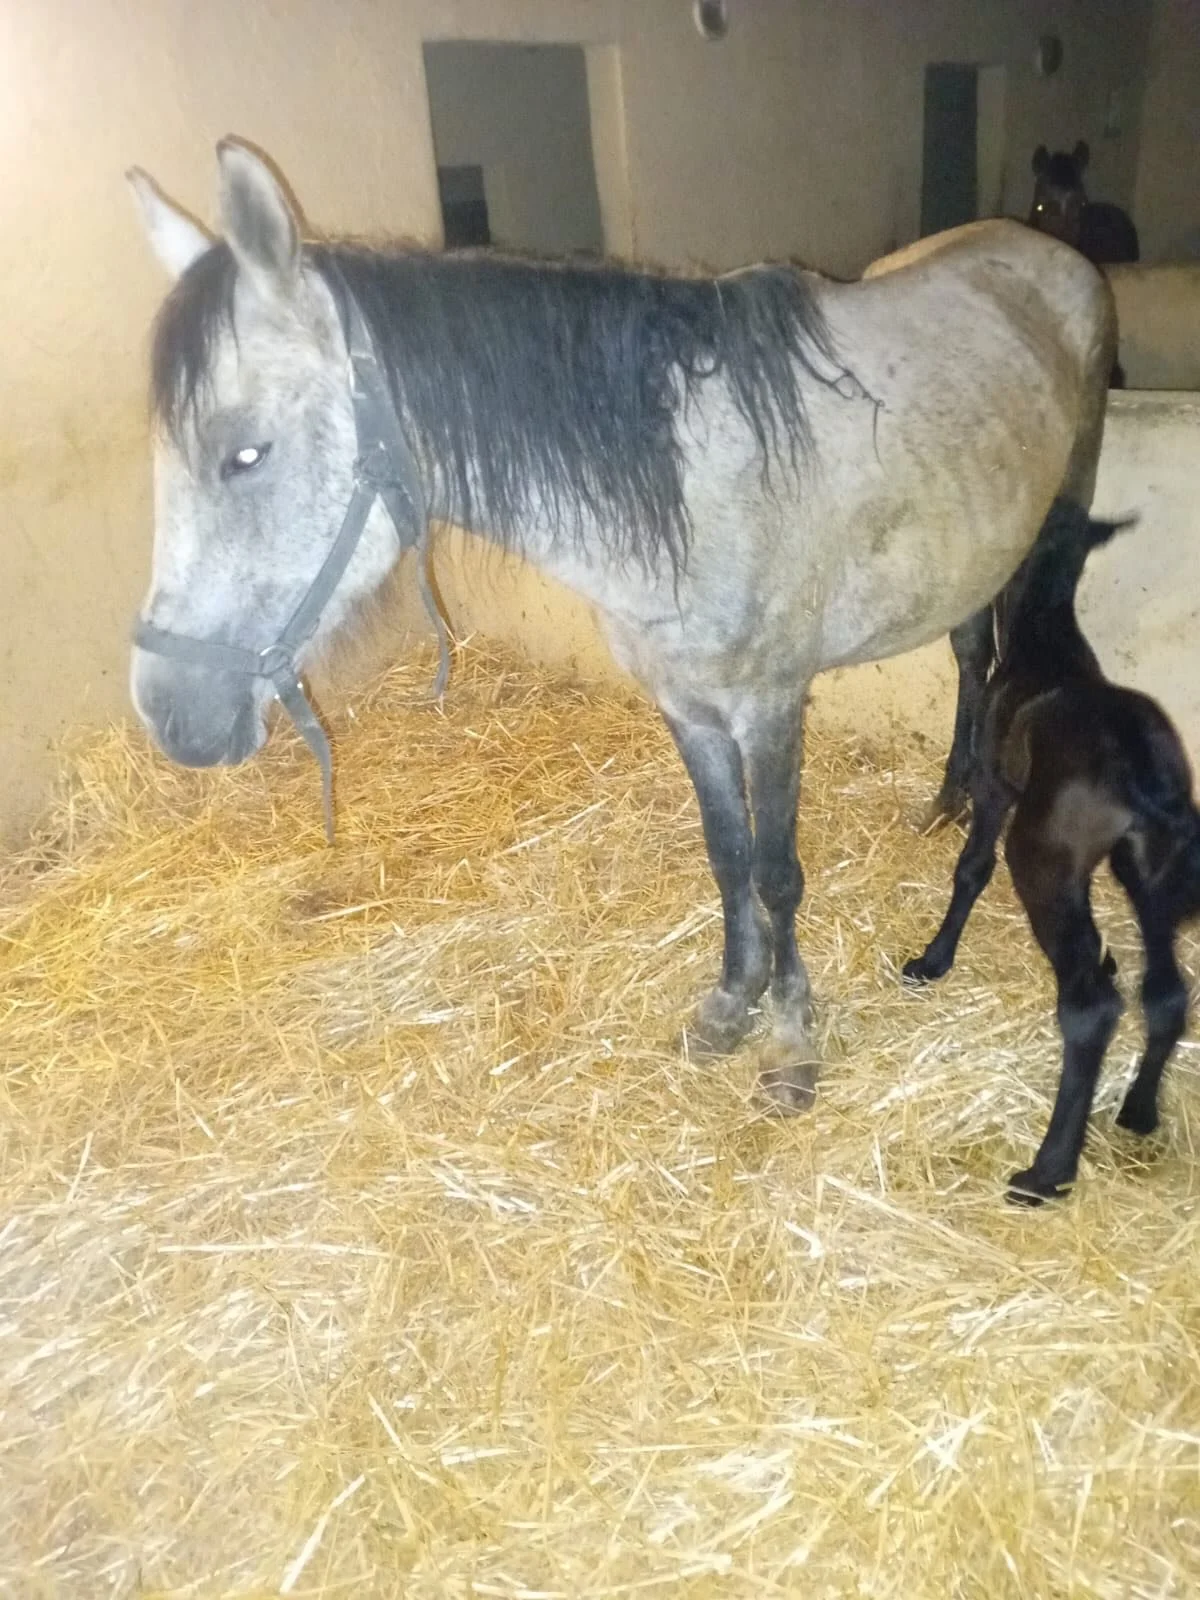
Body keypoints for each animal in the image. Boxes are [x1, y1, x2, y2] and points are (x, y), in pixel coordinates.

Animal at [126, 139, 1115, 1113]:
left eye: (245, 453)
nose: (171, 714)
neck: (688, 485)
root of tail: (1042, 250)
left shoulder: (769, 708)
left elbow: (776, 872)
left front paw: (791, 1043)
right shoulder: (687, 706)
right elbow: (727, 856)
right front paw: (731, 1004)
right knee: (968, 652)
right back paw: (949, 796)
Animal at [903, 509, 1200, 1204]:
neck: (1047, 639)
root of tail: (1139, 776)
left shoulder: (994, 787)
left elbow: (971, 869)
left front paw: (932, 960)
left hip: (1045, 862)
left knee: (1092, 1007)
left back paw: (1047, 1170)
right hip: (1152, 873)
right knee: (1166, 993)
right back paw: (1138, 1112)